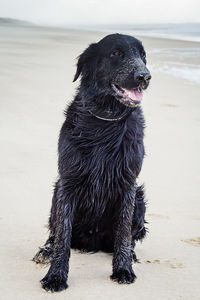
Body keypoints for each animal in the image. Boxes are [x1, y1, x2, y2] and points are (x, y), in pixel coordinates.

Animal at [33, 34, 151, 292]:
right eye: (116, 53)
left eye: (143, 55)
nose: (145, 76)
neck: (105, 120)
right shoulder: (68, 182)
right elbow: (63, 235)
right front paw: (56, 275)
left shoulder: (128, 184)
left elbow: (124, 234)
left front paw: (123, 268)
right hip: (57, 191)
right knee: (55, 232)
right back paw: (45, 250)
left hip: (139, 197)